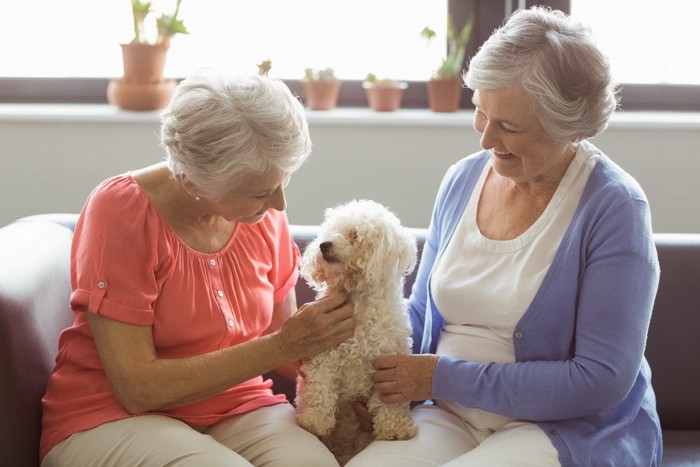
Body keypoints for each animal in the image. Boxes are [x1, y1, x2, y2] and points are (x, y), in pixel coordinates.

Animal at [294, 200, 416, 464]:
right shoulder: (323, 355)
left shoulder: (388, 365)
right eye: (329, 230)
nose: (324, 244)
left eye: (355, 235)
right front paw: (314, 421)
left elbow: (390, 402)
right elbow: (320, 388)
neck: (358, 297)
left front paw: (395, 429)